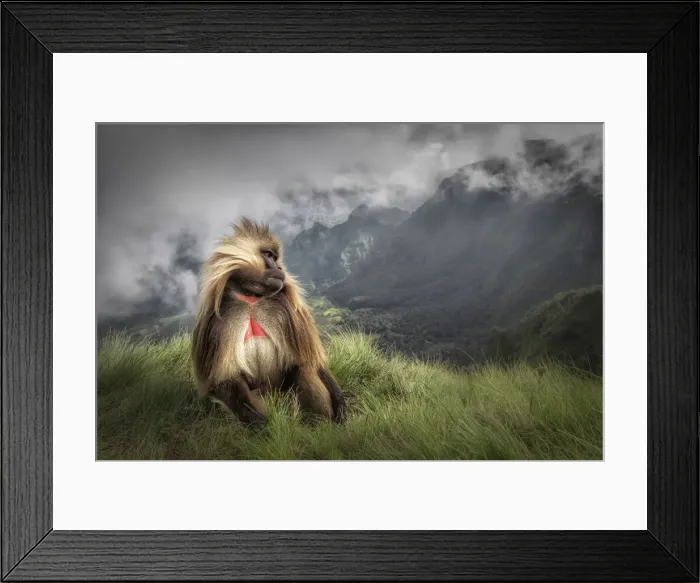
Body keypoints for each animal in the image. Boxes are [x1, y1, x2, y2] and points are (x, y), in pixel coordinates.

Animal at [191, 217, 347, 428]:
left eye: (275, 257)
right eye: (268, 255)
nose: (279, 268)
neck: (252, 299)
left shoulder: (289, 310)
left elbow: (310, 360)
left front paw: (339, 403)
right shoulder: (216, 321)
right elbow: (224, 380)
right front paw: (261, 424)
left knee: (303, 370)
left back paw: (323, 426)